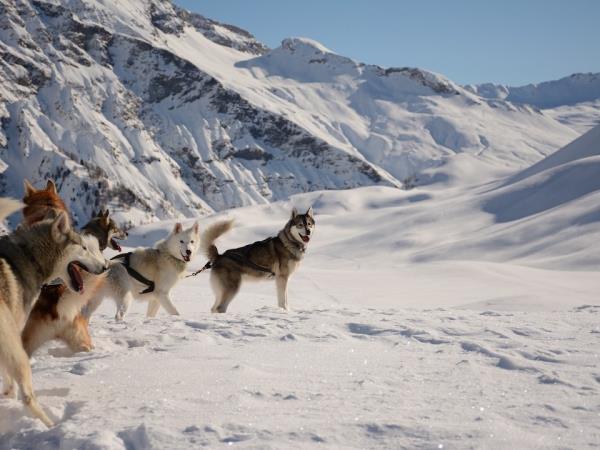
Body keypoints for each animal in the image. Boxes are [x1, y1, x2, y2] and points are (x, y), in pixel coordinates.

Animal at [0, 200, 108, 426]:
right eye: (84, 248)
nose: (104, 266)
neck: (30, 256)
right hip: (18, 349)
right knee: (28, 396)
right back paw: (48, 425)